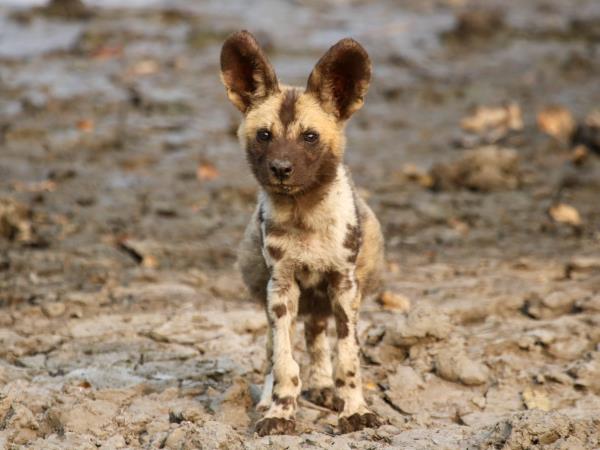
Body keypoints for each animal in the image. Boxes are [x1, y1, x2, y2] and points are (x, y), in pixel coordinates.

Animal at [220, 29, 384, 436]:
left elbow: (348, 360)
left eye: (309, 137)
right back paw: (267, 401)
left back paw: (325, 388)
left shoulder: (343, 285)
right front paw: (280, 413)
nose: (281, 168)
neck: (304, 215)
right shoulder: (280, 288)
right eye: (264, 135)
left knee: (317, 336)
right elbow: (283, 362)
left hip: (326, 297)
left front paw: (354, 412)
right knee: (275, 350)